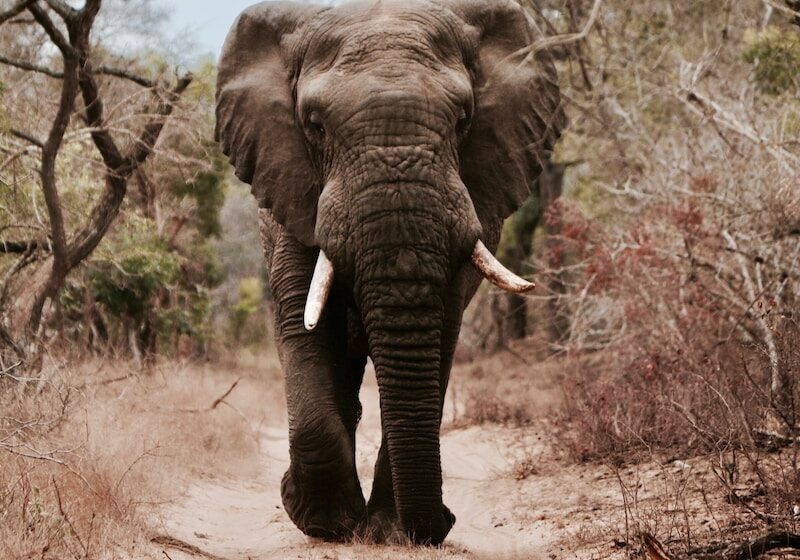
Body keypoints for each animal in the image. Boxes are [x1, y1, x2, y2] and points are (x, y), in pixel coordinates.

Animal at [215, 0, 564, 545]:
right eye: (314, 125)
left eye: (463, 119)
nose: (443, 523)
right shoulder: (289, 187)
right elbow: (303, 320)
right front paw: (325, 523)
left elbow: (441, 330)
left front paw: (388, 531)